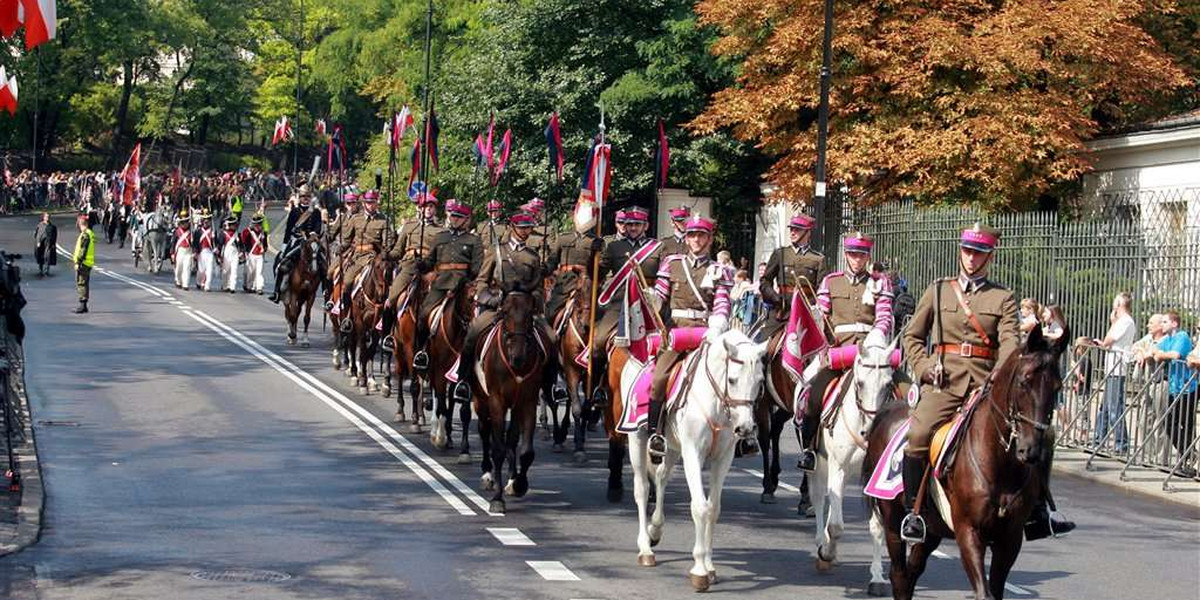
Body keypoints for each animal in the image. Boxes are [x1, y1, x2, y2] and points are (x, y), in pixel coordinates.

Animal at [477, 288, 552, 513]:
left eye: (529, 313)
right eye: (505, 312)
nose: (517, 356)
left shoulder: (527, 401)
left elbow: (525, 451)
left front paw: (519, 484)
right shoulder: (496, 401)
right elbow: (498, 449)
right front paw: (497, 499)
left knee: (510, 438)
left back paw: (511, 478)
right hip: (481, 400)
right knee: (485, 432)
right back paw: (488, 474)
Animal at [624, 331, 763, 592]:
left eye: (760, 382)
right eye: (732, 380)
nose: (745, 428)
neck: (717, 403)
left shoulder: (723, 458)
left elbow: (714, 508)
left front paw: (709, 566)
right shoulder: (693, 453)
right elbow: (700, 507)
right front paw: (699, 569)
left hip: (671, 447)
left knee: (661, 478)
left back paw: (655, 529)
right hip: (636, 439)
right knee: (642, 489)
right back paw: (645, 548)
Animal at [806, 333, 902, 595]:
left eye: (888, 385)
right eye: (859, 383)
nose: (869, 431)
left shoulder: (874, 479)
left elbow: (877, 527)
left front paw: (877, 577)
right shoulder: (836, 468)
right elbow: (836, 525)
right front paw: (826, 552)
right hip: (819, 465)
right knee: (819, 497)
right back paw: (821, 543)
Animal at [864, 326, 1070, 600]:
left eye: (1057, 387)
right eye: (1024, 381)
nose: (1031, 449)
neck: (1000, 465)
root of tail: (889, 410)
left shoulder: (1010, 539)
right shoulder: (968, 533)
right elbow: (984, 592)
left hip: (932, 530)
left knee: (912, 573)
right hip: (892, 521)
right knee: (899, 575)